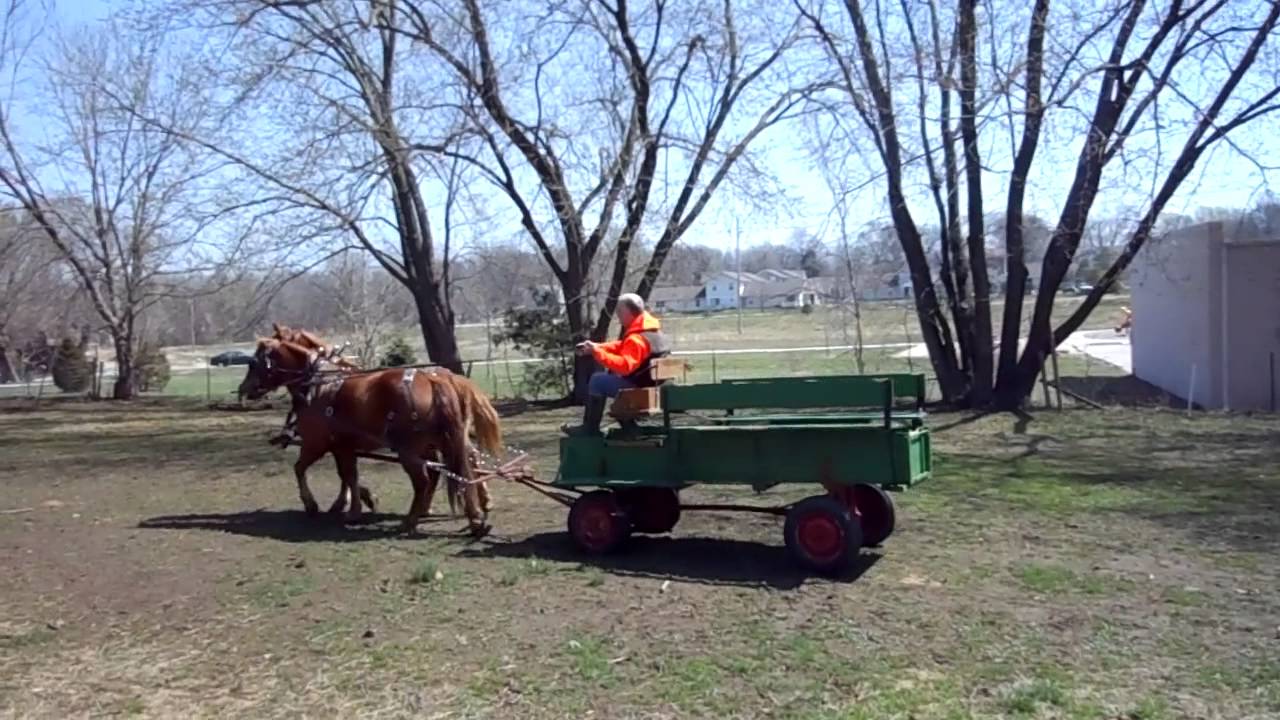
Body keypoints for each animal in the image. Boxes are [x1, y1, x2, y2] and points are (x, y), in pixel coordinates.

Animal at [238, 338, 488, 536]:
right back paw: (475, 518)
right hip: (442, 441)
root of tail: (433, 379)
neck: (318, 385)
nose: (243, 389)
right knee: (463, 468)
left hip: (410, 449)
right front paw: (355, 503)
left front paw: (316, 505)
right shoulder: (342, 446)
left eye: (253, 363)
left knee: (425, 480)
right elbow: (348, 475)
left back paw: (411, 521)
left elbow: (303, 469)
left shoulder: (317, 443)